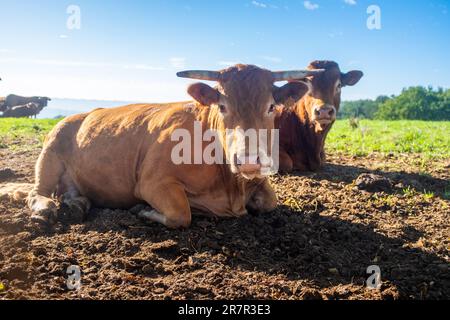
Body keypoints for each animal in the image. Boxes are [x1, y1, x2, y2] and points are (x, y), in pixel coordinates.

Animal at [6, 64, 324, 228]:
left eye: (271, 107)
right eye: (222, 106)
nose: (248, 160)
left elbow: (270, 201)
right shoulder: (152, 182)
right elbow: (180, 214)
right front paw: (143, 210)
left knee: (70, 192)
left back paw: (77, 204)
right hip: (50, 153)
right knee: (38, 192)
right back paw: (47, 208)